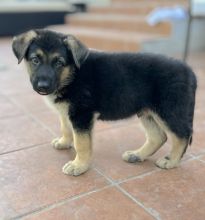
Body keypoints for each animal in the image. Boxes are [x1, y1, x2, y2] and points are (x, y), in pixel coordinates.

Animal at [11, 29, 197, 177]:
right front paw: (64, 142)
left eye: (59, 63)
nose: (43, 86)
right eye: (35, 60)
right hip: (147, 111)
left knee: (182, 135)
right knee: (158, 136)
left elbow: (81, 143)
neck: (71, 75)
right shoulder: (67, 112)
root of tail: (190, 71)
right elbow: (65, 128)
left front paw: (79, 165)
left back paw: (171, 161)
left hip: (169, 110)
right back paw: (137, 155)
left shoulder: (82, 114)